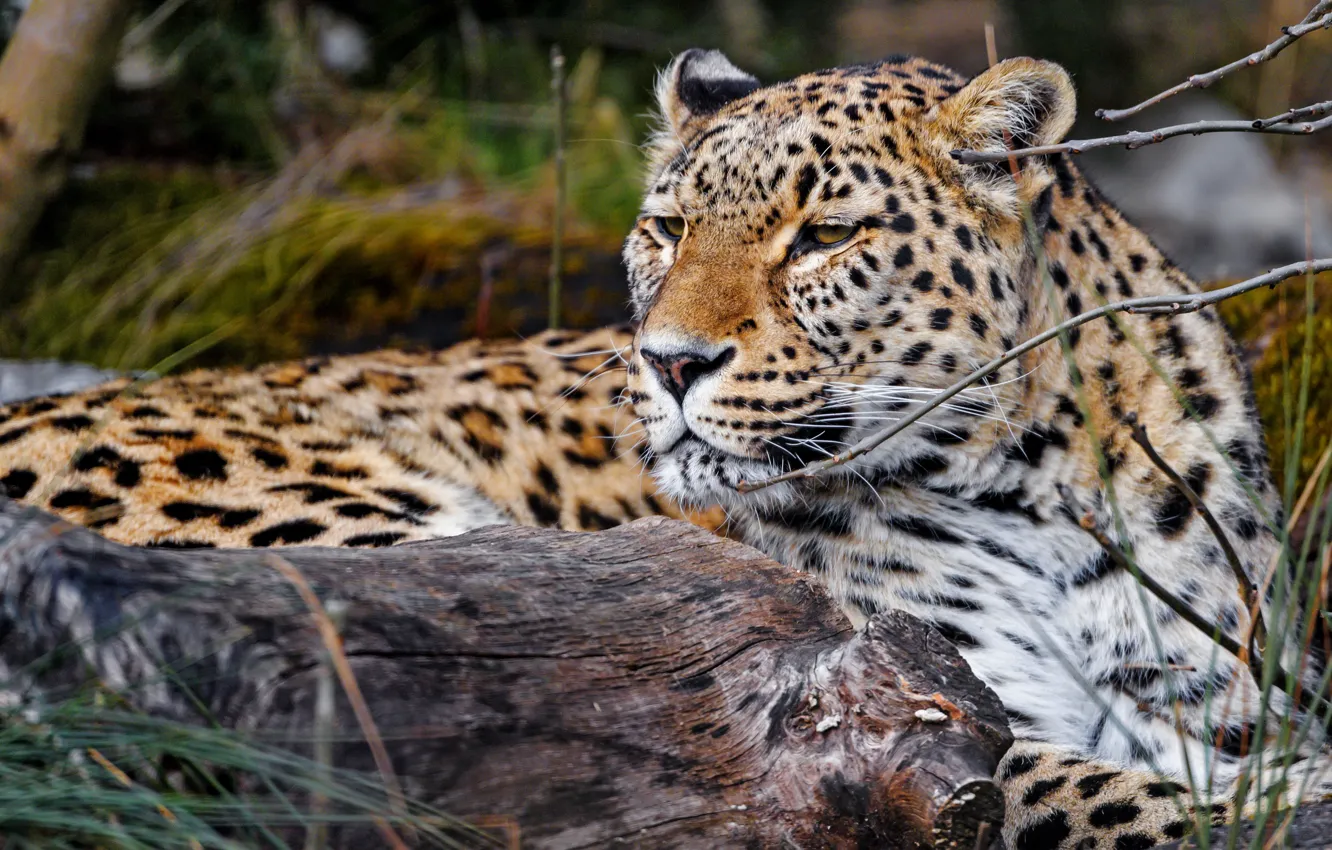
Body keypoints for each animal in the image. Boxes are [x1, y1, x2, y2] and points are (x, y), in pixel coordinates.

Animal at [0, 49, 1325, 849]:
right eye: (667, 227)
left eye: (823, 237)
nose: (671, 362)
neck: (1036, 480)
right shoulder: (906, 695)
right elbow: (1126, 795)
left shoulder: (1225, 699)